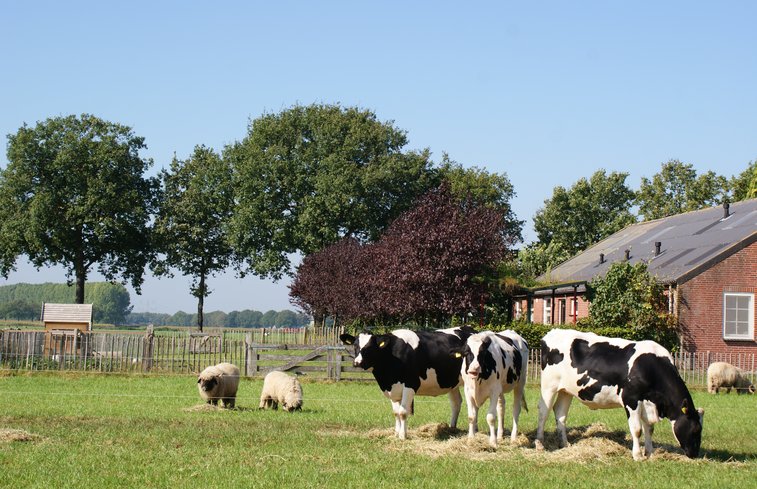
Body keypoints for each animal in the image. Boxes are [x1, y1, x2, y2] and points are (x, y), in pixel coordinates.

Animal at [342, 326, 472, 440]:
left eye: (370, 347)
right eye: (355, 345)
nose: (357, 362)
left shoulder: (410, 385)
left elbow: (403, 412)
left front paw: (402, 436)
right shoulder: (393, 388)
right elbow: (396, 413)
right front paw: (396, 433)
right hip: (452, 383)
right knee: (456, 403)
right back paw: (452, 428)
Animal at [532, 326, 704, 460]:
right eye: (696, 429)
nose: (695, 454)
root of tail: (553, 332)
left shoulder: (648, 402)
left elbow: (649, 428)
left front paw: (649, 453)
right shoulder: (631, 399)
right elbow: (637, 429)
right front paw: (637, 455)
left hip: (566, 390)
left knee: (560, 413)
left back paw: (565, 444)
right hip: (549, 385)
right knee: (543, 411)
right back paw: (539, 443)